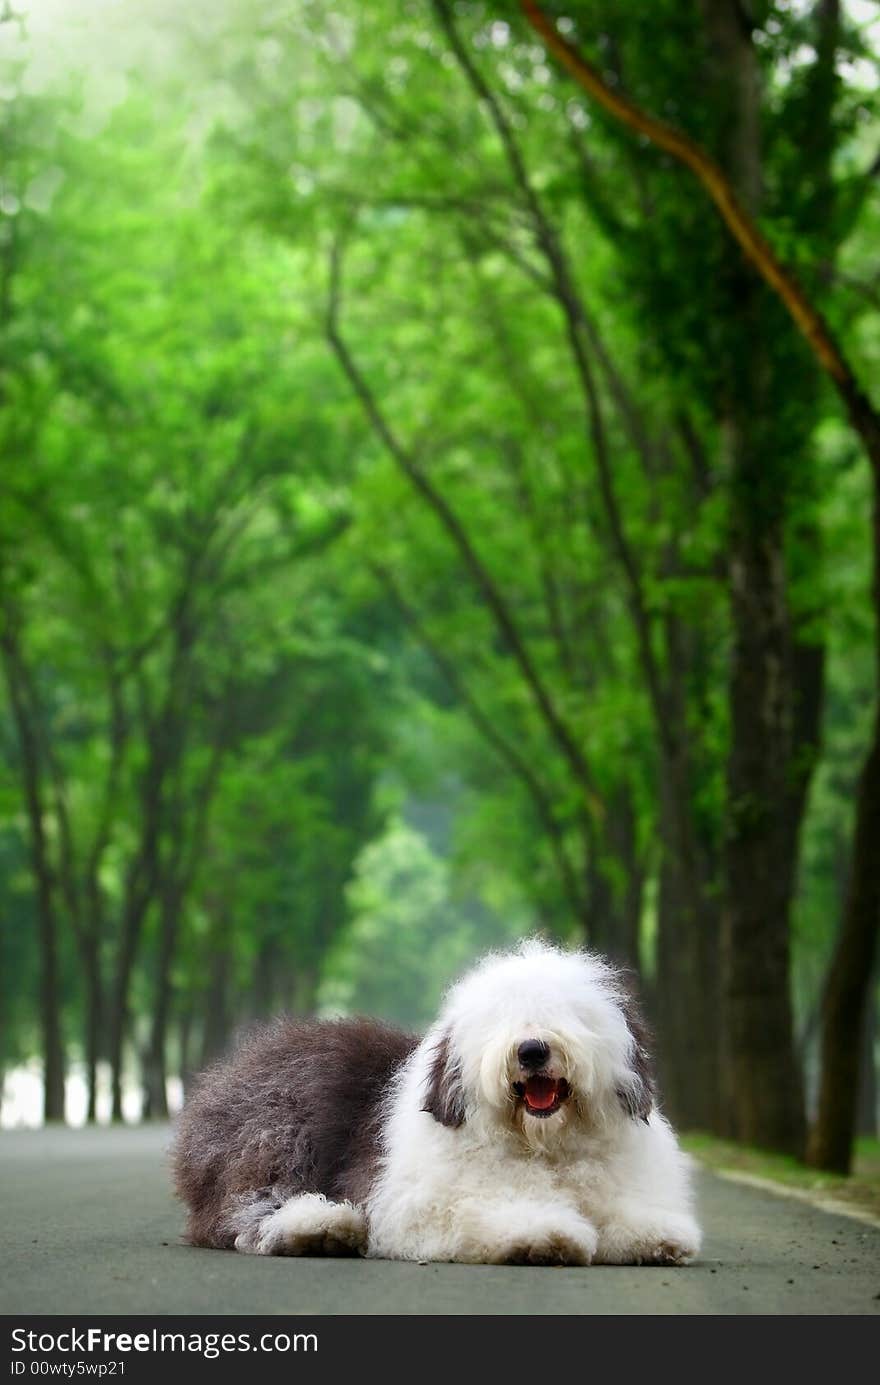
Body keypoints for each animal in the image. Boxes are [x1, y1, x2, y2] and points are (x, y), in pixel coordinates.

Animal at [173, 941, 701, 1268]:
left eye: (570, 1015)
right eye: (499, 1019)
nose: (532, 1050)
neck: (546, 1144)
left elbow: (626, 1213)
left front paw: (655, 1236)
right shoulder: (419, 1204)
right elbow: (483, 1210)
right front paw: (542, 1234)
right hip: (281, 1138)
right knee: (245, 1213)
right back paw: (321, 1226)